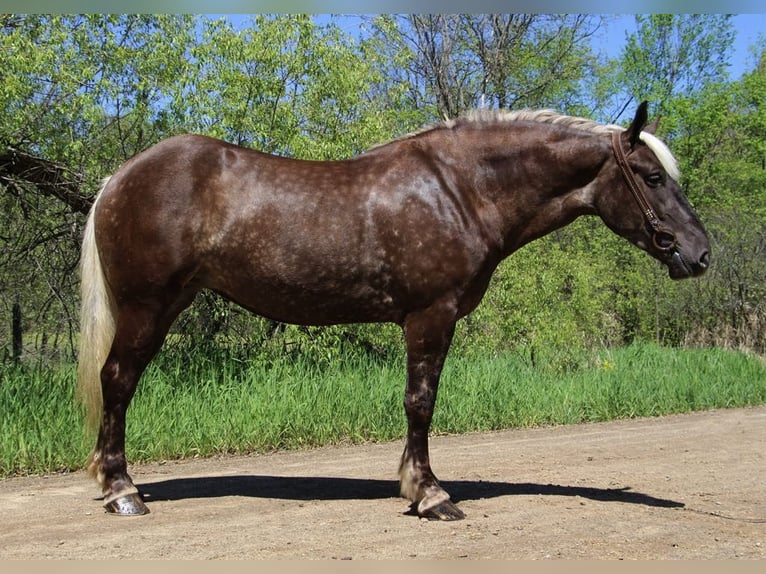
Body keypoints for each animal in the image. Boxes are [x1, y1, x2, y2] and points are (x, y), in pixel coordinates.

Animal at [79, 101, 712, 520]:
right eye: (653, 177)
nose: (701, 253)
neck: (461, 189)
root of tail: (119, 177)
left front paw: (415, 485)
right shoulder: (430, 316)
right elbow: (420, 402)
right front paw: (430, 495)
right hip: (146, 307)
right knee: (118, 381)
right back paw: (122, 492)